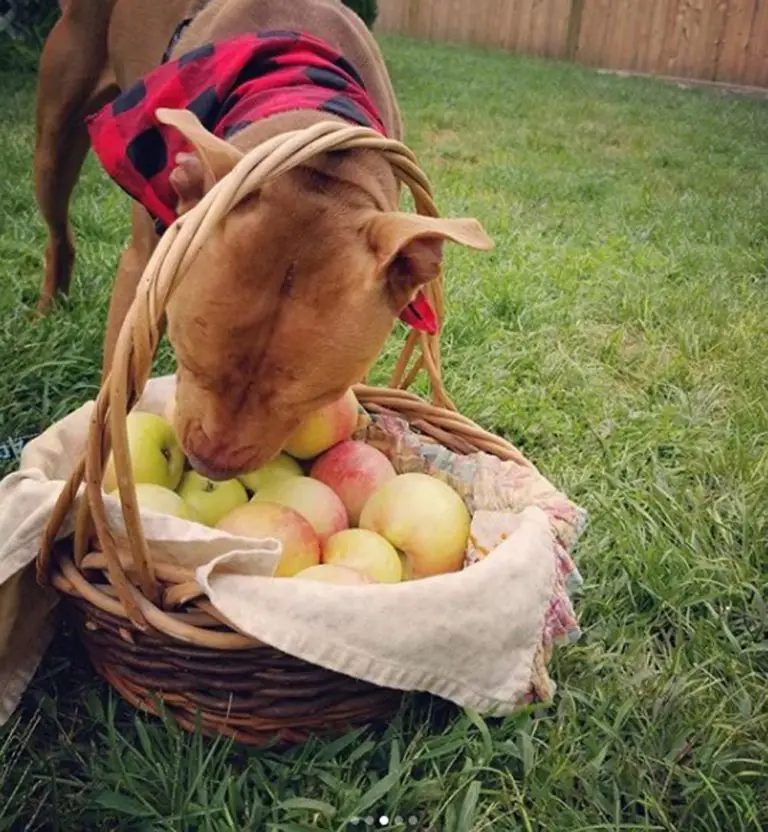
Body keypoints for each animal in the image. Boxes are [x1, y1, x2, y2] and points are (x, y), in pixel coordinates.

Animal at [33, 0, 492, 478]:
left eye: (319, 396)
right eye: (189, 359)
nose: (209, 466)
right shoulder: (142, 266)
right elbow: (119, 379)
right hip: (56, 138)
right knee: (58, 233)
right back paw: (46, 312)